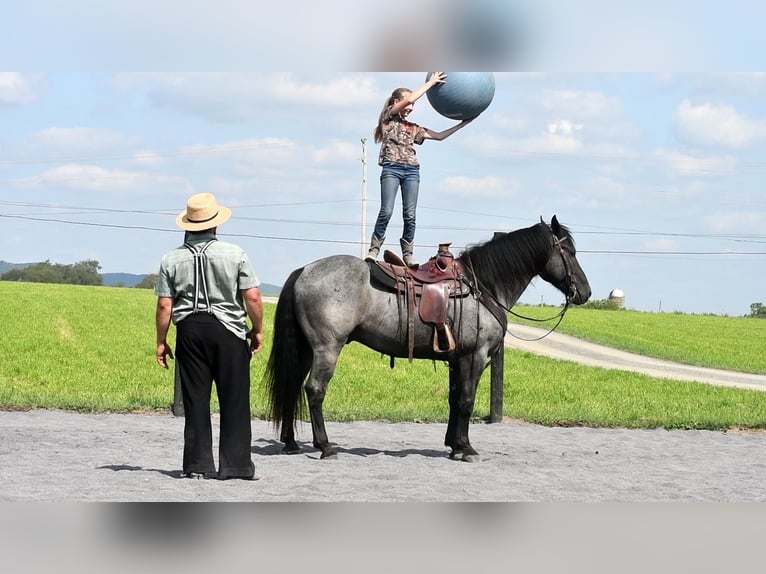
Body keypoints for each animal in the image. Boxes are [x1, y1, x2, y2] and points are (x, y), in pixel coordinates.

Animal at [266, 216, 592, 464]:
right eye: (569, 252)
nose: (585, 293)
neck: (483, 287)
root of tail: (305, 271)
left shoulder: (456, 359)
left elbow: (454, 399)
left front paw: (454, 445)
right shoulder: (474, 356)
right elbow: (467, 400)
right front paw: (466, 448)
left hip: (307, 349)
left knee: (293, 384)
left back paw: (291, 443)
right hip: (327, 348)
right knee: (314, 390)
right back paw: (326, 447)